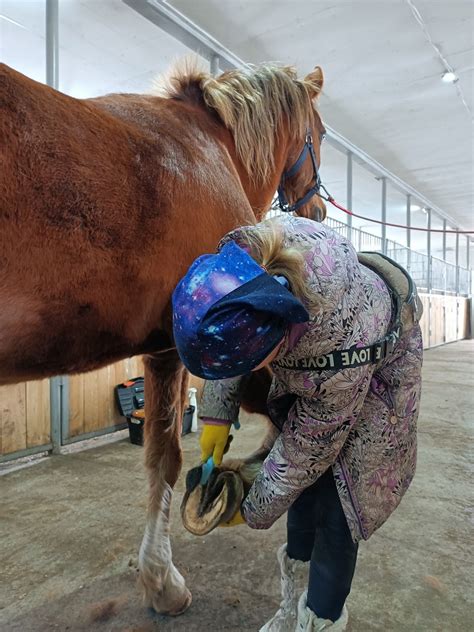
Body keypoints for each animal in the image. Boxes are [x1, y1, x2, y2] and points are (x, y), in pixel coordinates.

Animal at [0, 61, 326, 616]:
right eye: (321, 134)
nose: (321, 210)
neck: (214, 145)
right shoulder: (176, 348)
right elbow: (167, 457)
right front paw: (162, 582)